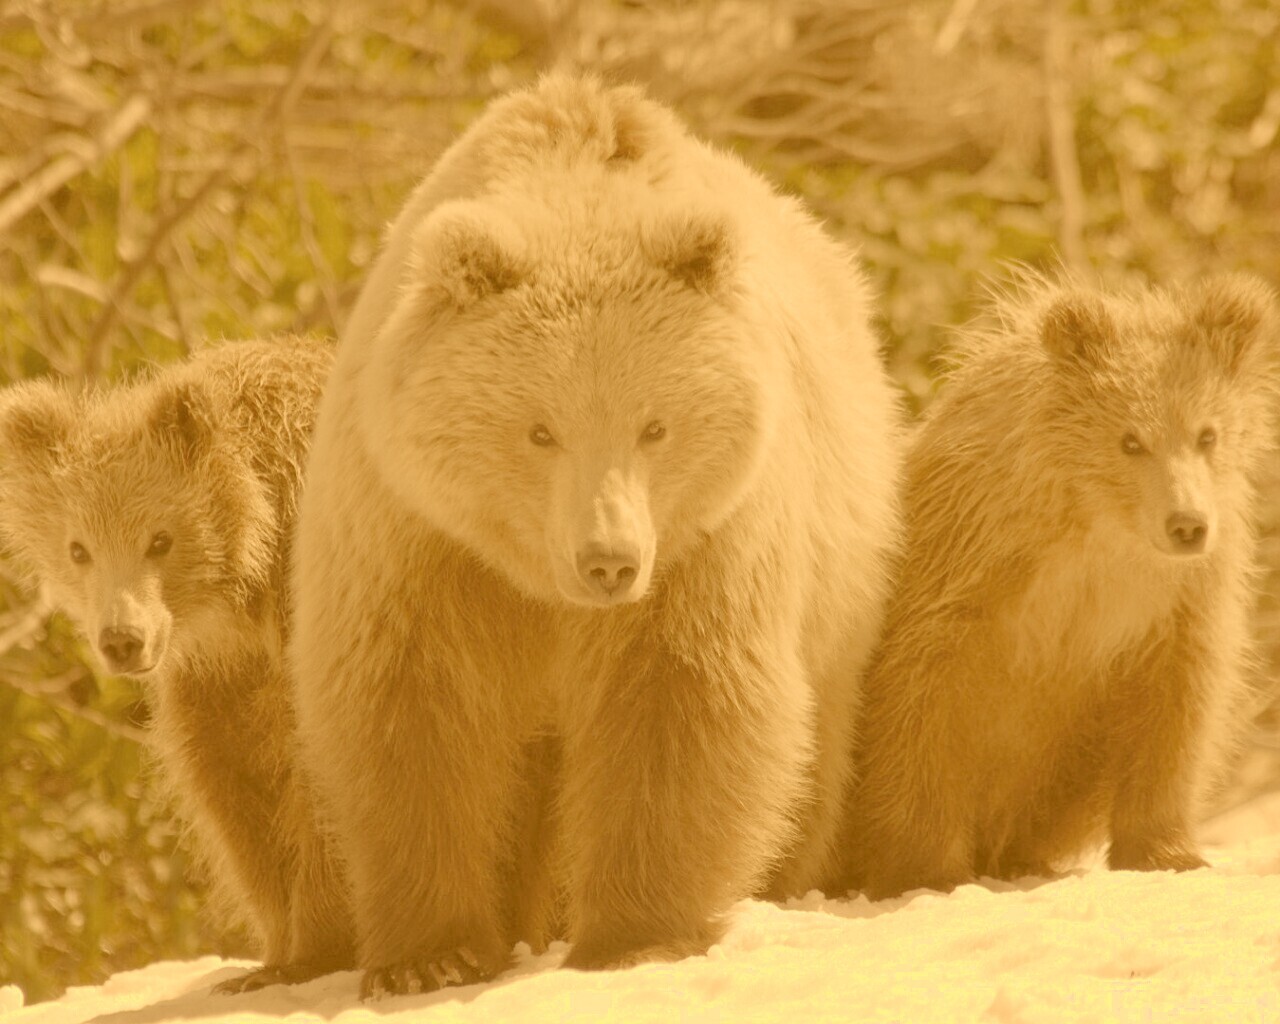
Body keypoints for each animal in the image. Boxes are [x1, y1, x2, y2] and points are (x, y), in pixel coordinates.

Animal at [0, 337, 353, 993]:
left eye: (159, 539)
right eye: (79, 548)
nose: (122, 640)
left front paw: (316, 950)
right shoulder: (219, 680)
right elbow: (235, 791)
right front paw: (270, 954)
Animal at [294, 67, 906, 998]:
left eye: (655, 425)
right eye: (539, 430)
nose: (608, 561)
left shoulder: (704, 544)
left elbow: (679, 701)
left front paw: (635, 936)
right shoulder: (419, 537)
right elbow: (413, 714)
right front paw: (429, 956)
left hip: (839, 570)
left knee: (812, 750)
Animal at [839, 270, 1280, 896]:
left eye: (1207, 434)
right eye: (1130, 439)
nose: (1187, 524)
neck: (1098, 530)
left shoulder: (1174, 602)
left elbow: (1176, 709)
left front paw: (1169, 852)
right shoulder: (968, 570)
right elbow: (919, 703)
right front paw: (924, 868)